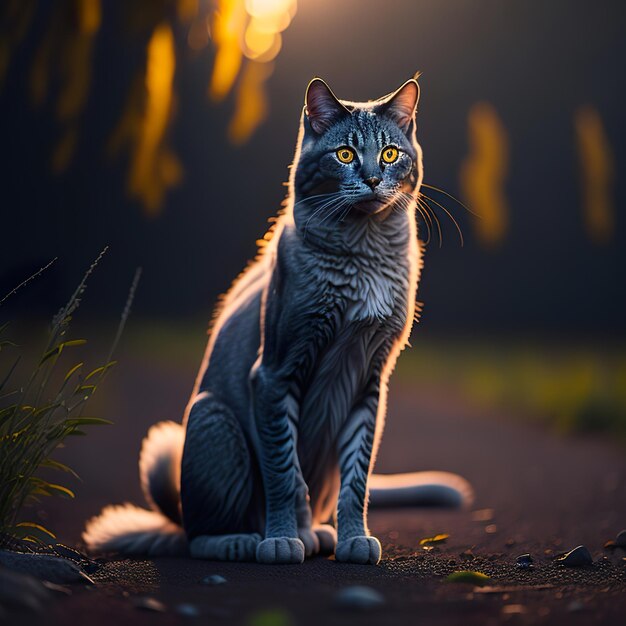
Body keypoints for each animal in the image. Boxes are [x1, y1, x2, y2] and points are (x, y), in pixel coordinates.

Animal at [84, 75, 472, 564]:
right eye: (345, 154)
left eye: (389, 154)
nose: (371, 178)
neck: (364, 253)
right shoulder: (275, 372)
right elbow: (285, 473)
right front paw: (285, 538)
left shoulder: (369, 380)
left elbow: (357, 479)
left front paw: (353, 538)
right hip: (213, 417)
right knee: (197, 535)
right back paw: (249, 540)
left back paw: (320, 533)